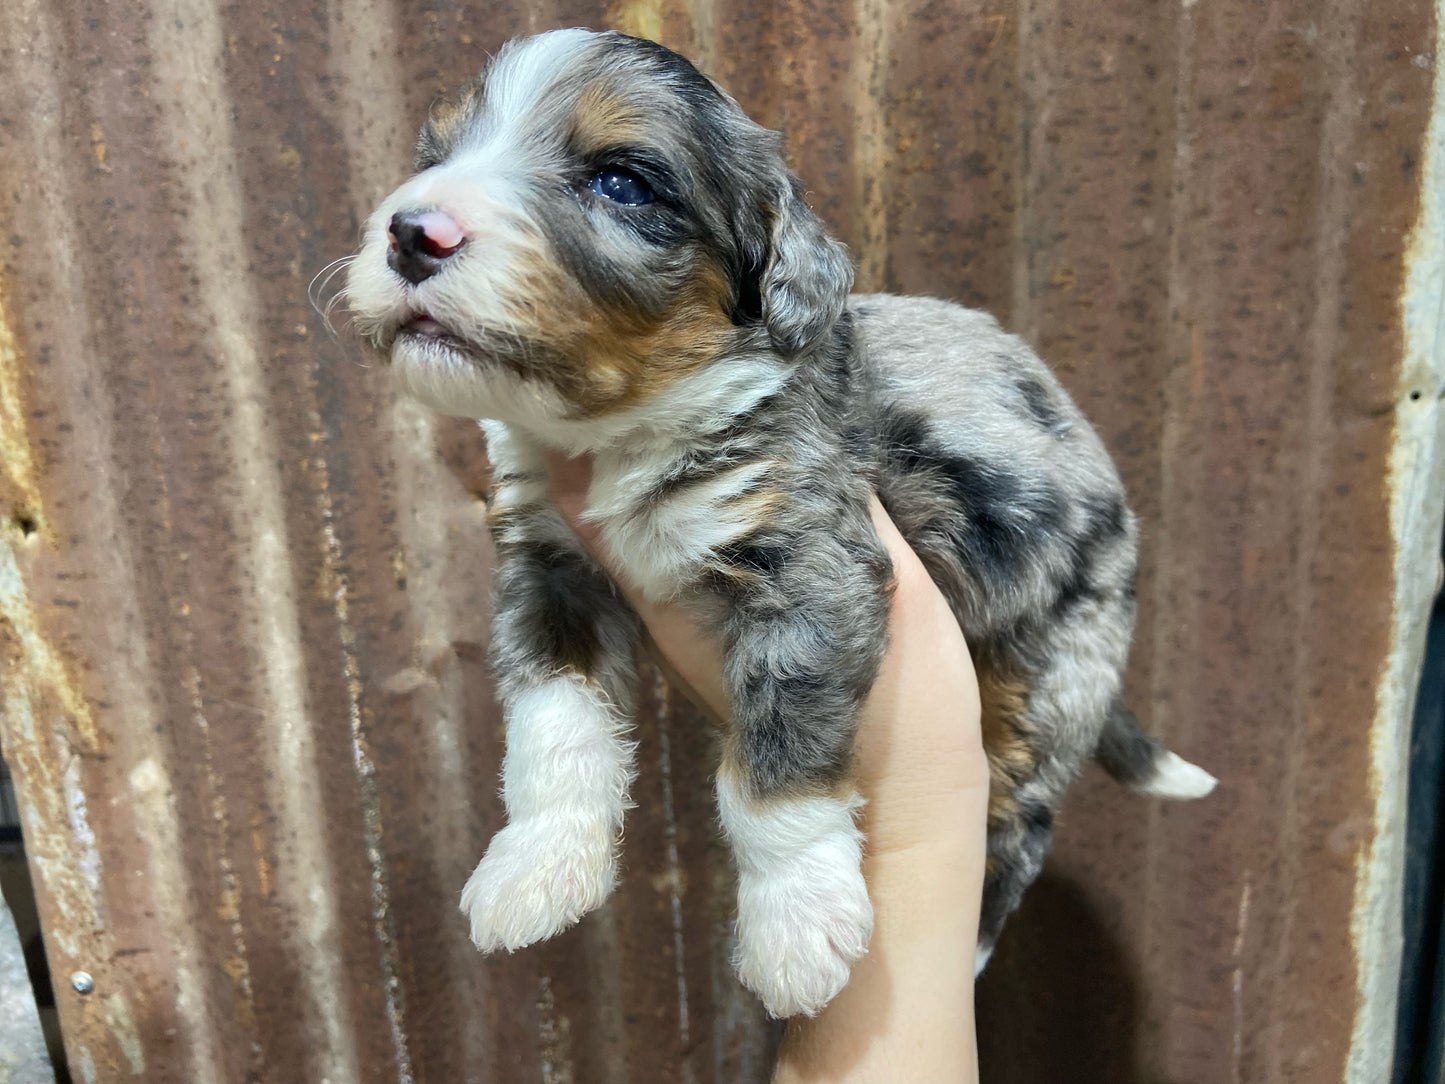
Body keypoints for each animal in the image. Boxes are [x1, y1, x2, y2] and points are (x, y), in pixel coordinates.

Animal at [343, 29, 1213, 1023]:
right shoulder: (545, 573)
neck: (618, 436)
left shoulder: (809, 570)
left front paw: (794, 928)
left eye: (621, 181)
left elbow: (776, 768)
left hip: (1047, 683)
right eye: (434, 157)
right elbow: (552, 725)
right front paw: (537, 869)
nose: (412, 230)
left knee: (1016, 825)